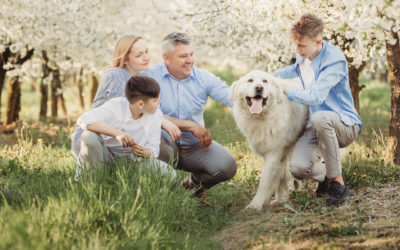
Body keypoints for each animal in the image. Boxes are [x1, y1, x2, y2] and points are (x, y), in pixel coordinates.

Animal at [228, 70, 310, 211]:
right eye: (250, 80)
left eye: (265, 81)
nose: (259, 88)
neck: (262, 117)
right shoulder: (282, 151)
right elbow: (282, 175)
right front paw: (281, 200)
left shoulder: (274, 153)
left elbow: (264, 181)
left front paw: (255, 204)